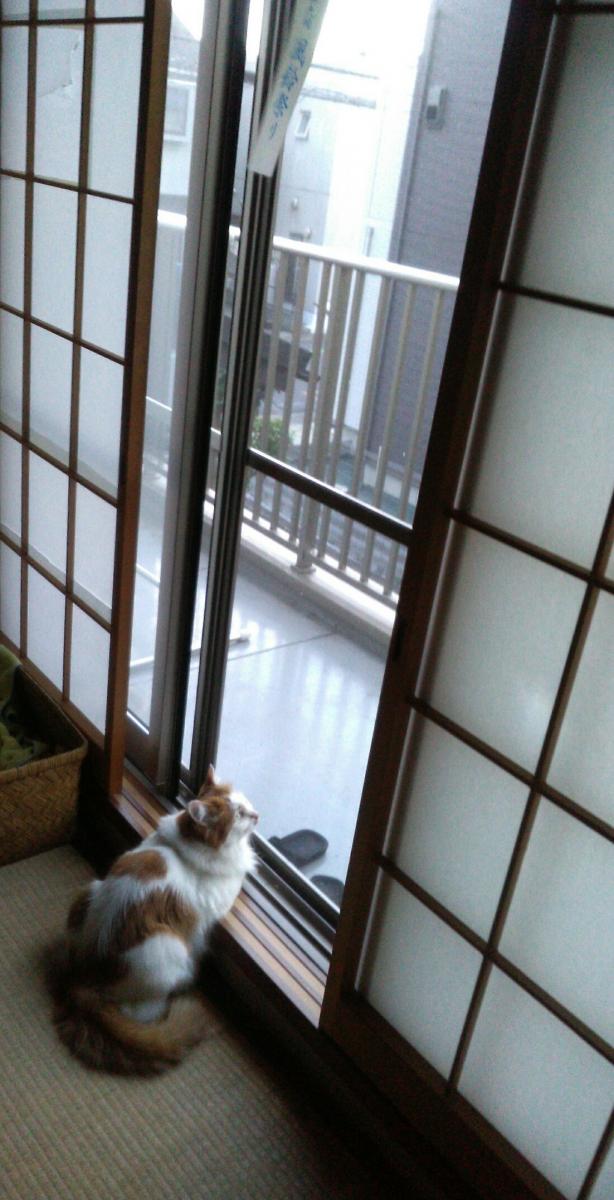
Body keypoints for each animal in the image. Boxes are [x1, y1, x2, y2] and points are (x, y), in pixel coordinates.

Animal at [50, 767, 258, 1075]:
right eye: (240, 814)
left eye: (246, 802)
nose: (257, 815)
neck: (186, 842)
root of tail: (84, 980)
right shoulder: (221, 898)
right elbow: (239, 877)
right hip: (166, 950)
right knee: (146, 1012)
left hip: (88, 893)